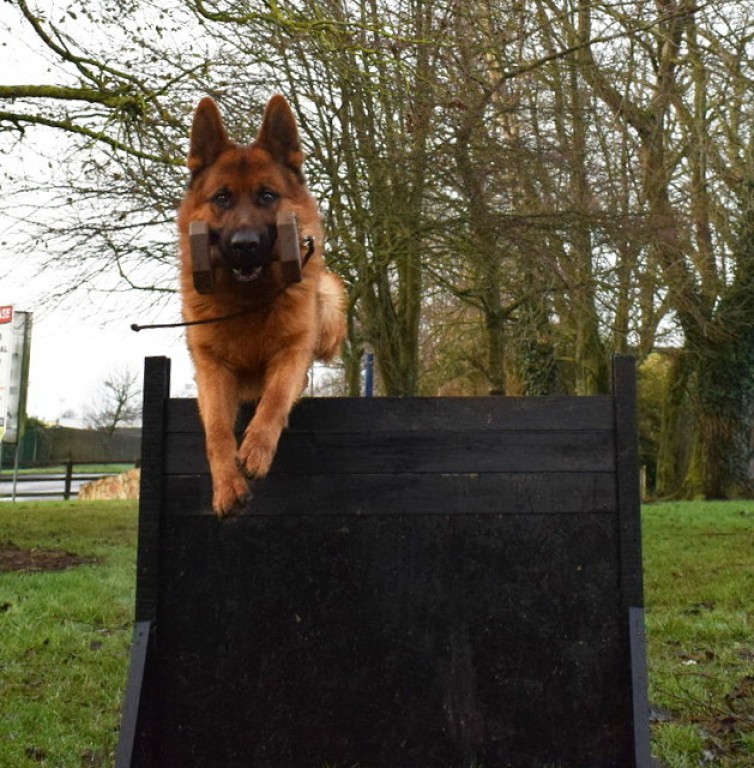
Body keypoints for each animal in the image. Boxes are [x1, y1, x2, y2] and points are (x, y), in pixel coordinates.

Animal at [178, 95, 347, 517]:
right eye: (222, 198)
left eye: (267, 196)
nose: (245, 245)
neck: (248, 300)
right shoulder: (211, 370)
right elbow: (217, 431)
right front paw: (226, 486)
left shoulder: (293, 350)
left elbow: (275, 398)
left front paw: (256, 449)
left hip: (330, 297)